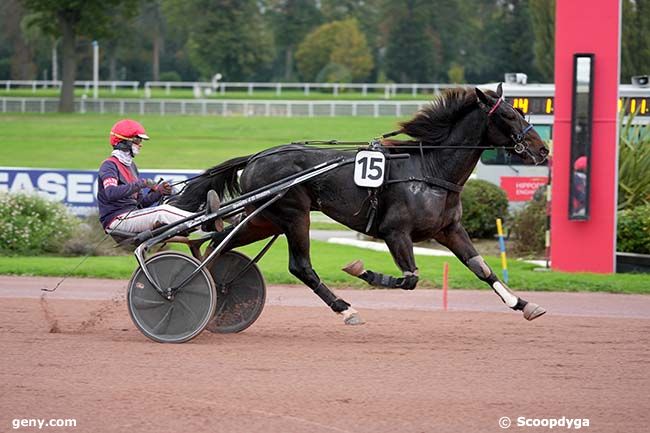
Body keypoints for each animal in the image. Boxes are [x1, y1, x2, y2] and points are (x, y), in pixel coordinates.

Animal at [168, 85, 548, 324]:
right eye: (510, 116)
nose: (542, 149)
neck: (429, 169)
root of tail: (257, 156)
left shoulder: (449, 230)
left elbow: (481, 268)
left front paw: (523, 303)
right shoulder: (395, 232)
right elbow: (409, 279)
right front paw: (361, 270)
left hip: (267, 219)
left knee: (219, 242)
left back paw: (211, 282)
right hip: (294, 215)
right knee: (300, 267)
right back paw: (345, 309)